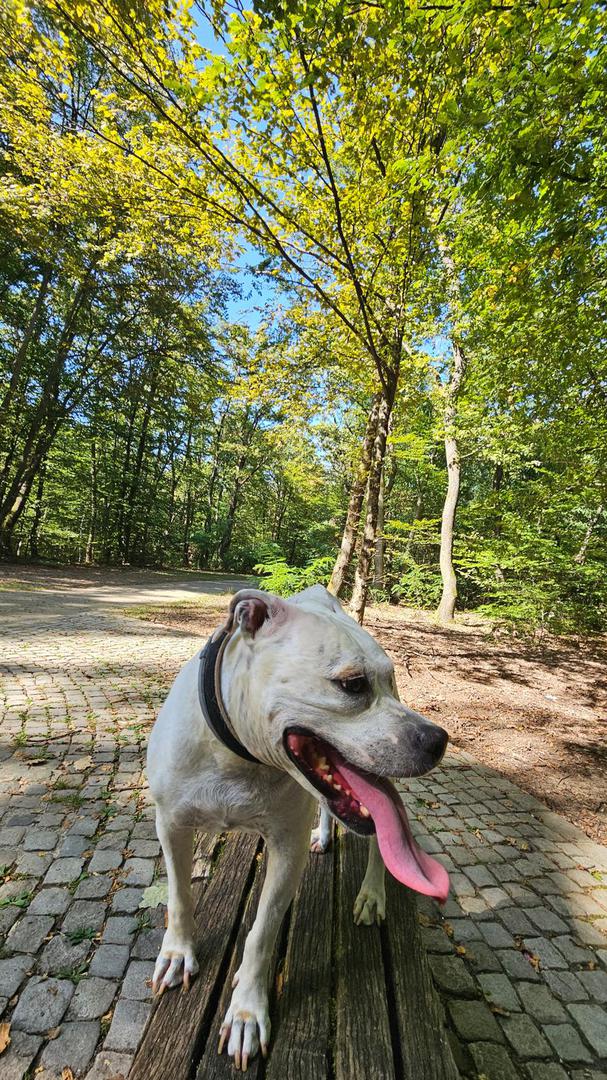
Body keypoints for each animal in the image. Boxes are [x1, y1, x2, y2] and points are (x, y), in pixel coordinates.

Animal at [146, 591, 447, 1071]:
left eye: (388, 678)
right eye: (352, 684)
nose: (438, 739)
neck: (239, 756)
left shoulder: (285, 851)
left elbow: (262, 932)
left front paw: (247, 1011)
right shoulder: (171, 824)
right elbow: (178, 897)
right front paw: (177, 953)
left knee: (383, 842)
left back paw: (372, 893)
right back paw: (324, 836)